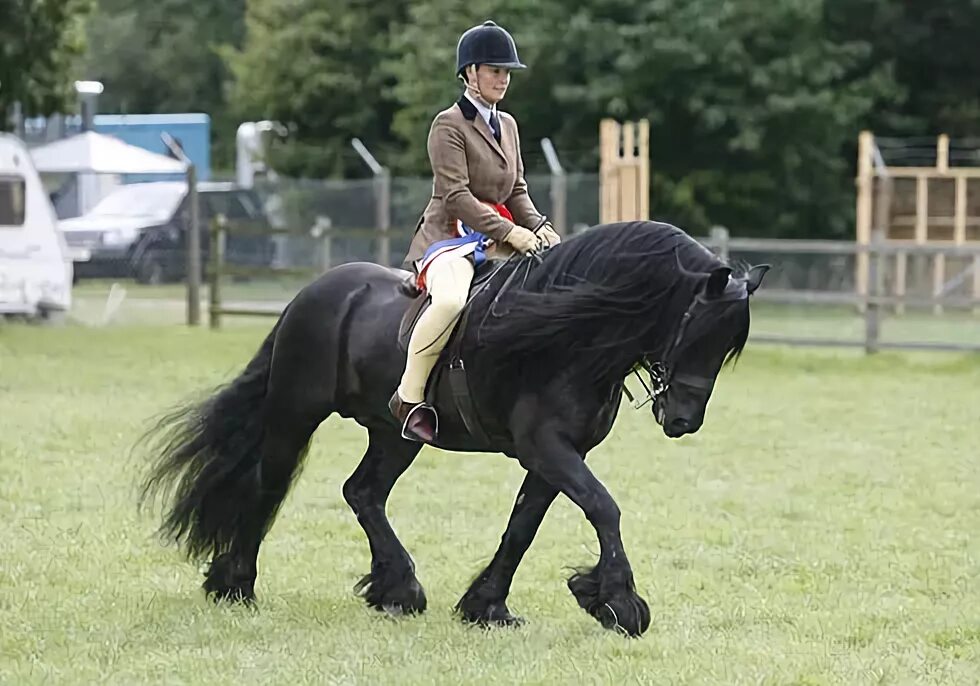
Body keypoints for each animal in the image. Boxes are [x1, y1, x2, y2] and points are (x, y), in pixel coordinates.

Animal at [138, 220, 764, 640]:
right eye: (696, 330)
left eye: (727, 345)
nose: (683, 421)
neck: (571, 335)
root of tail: (314, 292)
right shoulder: (547, 447)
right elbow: (604, 508)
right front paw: (617, 602)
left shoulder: (555, 455)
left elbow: (522, 528)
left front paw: (488, 607)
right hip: (295, 414)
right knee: (268, 485)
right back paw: (236, 585)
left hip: (395, 433)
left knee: (363, 492)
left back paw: (397, 589)